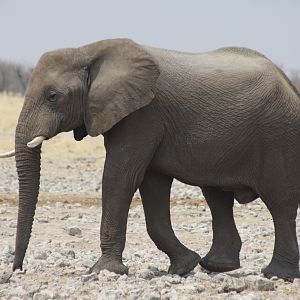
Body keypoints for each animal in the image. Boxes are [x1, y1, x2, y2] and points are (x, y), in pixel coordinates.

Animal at [0, 37, 300, 278]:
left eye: (52, 96)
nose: (17, 270)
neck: (88, 51)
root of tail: (288, 84)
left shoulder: (142, 115)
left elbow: (121, 177)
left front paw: (102, 271)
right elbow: (152, 184)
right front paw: (183, 267)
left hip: (279, 136)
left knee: (280, 205)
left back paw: (278, 274)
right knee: (218, 198)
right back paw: (217, 267)